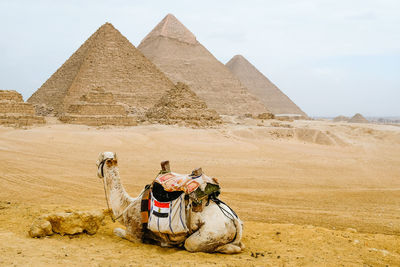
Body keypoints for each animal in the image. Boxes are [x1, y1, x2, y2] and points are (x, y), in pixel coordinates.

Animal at [97, 152, 244, 254]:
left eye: (99, 160)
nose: (98, 173)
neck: (126, 204)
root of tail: (233, 219)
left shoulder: (134, 233)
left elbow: (118, 231)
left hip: (212, 231)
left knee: (191, 244)